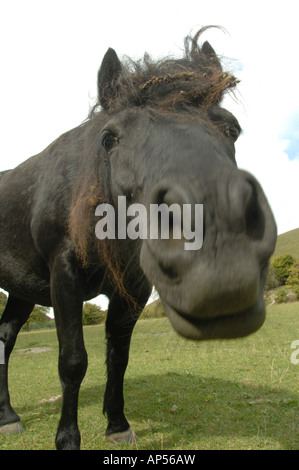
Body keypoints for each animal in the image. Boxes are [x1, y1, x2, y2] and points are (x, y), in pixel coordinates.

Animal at [0, 28, 276, 448]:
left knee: (4, 336)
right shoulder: (63, 274)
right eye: (109, 138)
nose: (218, 252)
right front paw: (67, 438)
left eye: (232, 129)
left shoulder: (134, 284)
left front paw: (117, 424)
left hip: (22, 290)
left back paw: (8, 416)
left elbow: (119, 356)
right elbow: (72, 360)